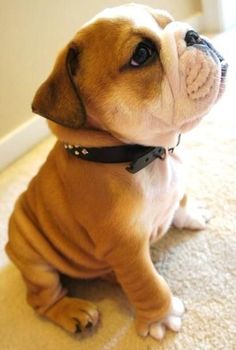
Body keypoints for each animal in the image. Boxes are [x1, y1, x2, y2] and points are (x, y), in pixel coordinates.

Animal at [5, 3, 227, 342]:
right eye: (142, 54)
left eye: (171, 21)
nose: (193, 34)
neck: (146, 154)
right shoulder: (126, 248)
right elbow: (149, 285)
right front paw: (162, 318)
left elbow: (182, 198)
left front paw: (191, 215)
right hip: (31, 255)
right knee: (41, 298)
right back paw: (74, 311)